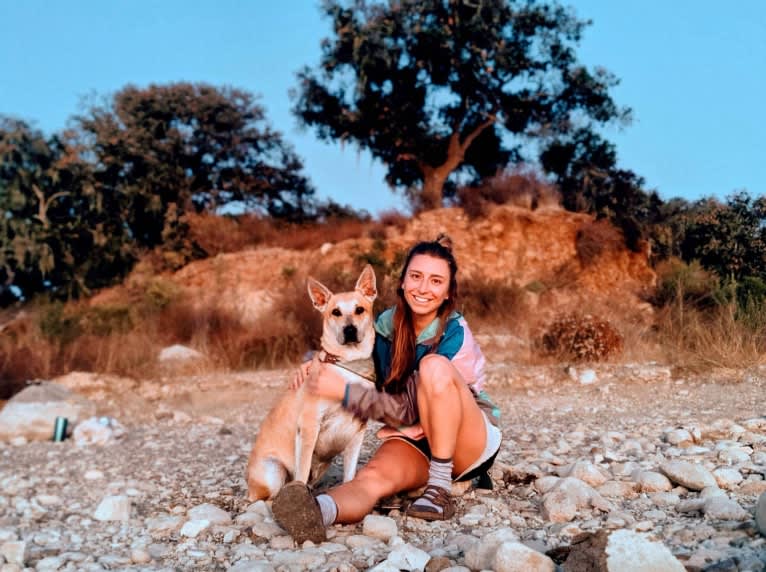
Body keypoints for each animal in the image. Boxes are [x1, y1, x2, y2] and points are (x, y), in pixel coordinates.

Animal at [246, 264, 378, 500]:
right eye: (335, 312)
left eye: (359, 309)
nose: (349, 330)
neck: (348, 364)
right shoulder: (309, 426)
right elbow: (303, 467)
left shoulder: (357, 431)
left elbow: (350, 475)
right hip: (273, 472)